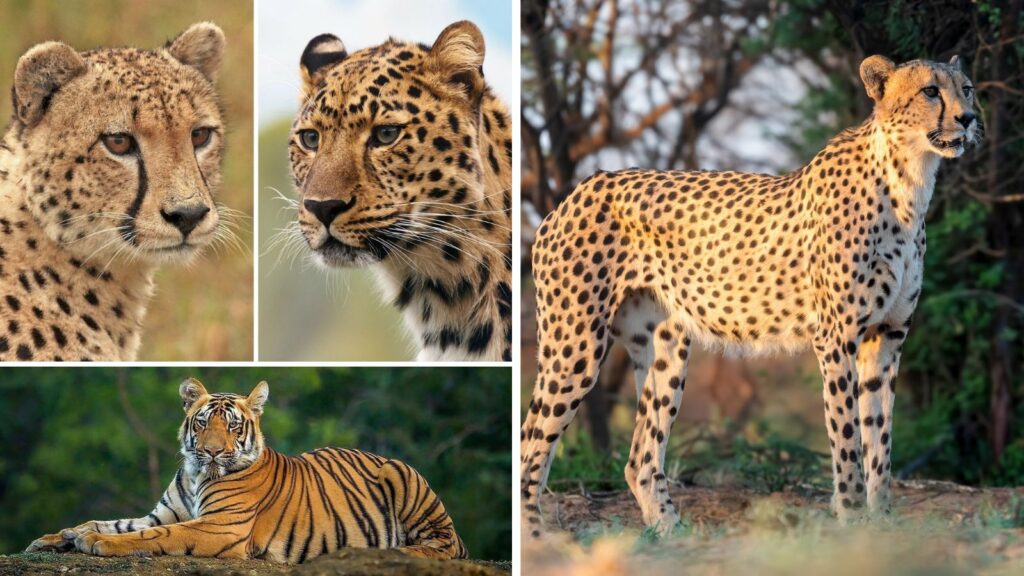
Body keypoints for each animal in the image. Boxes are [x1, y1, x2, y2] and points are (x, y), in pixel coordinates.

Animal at [26, 378, 467, 563]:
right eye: (203, 422)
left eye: (233, 426)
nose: (212, 452)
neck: (195, 474)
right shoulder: (163, 512)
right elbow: (109, 521)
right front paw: (58, 537)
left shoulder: (220, 526)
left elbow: (153, 535)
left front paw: (95, 543)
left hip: (404, 479)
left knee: (442, 547)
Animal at [521, 55, 982, 536]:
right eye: (930, 91)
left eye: (966, 89)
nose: (969, 118)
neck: (909, 179)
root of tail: (579, 188)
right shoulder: (836, 338)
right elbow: (848, 436)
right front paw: (853, 518)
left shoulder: (887, 337)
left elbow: (880, 436)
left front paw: (882, 524)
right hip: (575, 346)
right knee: (530, 443)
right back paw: (536, 535)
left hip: (666, 348)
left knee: (640, 458)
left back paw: (671, 533)